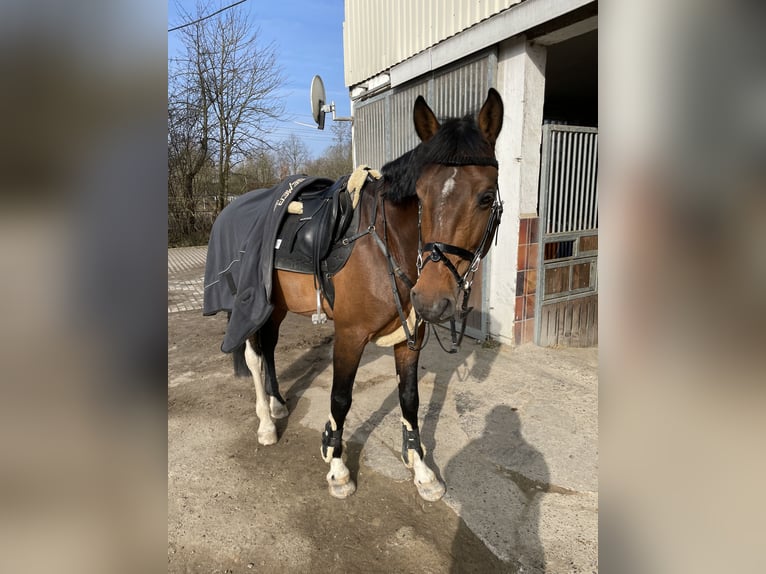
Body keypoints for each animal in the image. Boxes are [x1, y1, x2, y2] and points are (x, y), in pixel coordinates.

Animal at [222, 89, 503, 500]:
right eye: (421, 196)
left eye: (485, 197)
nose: (432, 299)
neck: (387, 245)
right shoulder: (350, 335)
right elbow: (340, 398)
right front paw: (337, 467)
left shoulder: (410, 336)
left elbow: (409, 398)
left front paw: (421, 469)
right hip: (252, 302)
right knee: (254, 356)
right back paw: (266, 425)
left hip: (277, 306)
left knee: (269, 348)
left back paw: (277, 406)